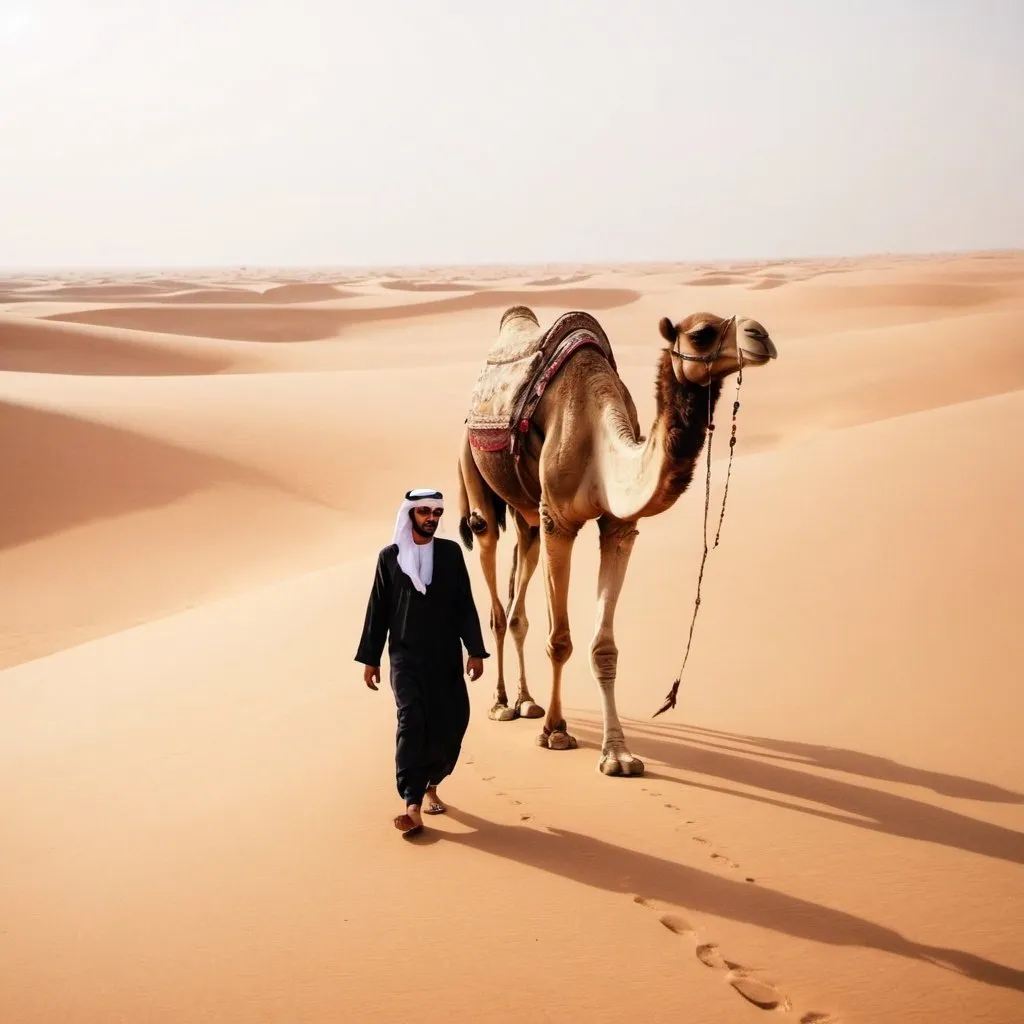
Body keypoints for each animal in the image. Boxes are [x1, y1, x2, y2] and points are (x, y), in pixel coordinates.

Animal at [456, 303, 774, 774]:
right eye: (701, 333)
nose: (762, 337)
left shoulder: (618, 526)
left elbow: (604, 648)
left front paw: (617, 753)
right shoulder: (559, 522)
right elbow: (560, 640)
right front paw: (556, 731)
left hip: (528, 516)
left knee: (518, 600)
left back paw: (526, 701)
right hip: (475, 475)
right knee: (492, 577)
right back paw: (500, 703)